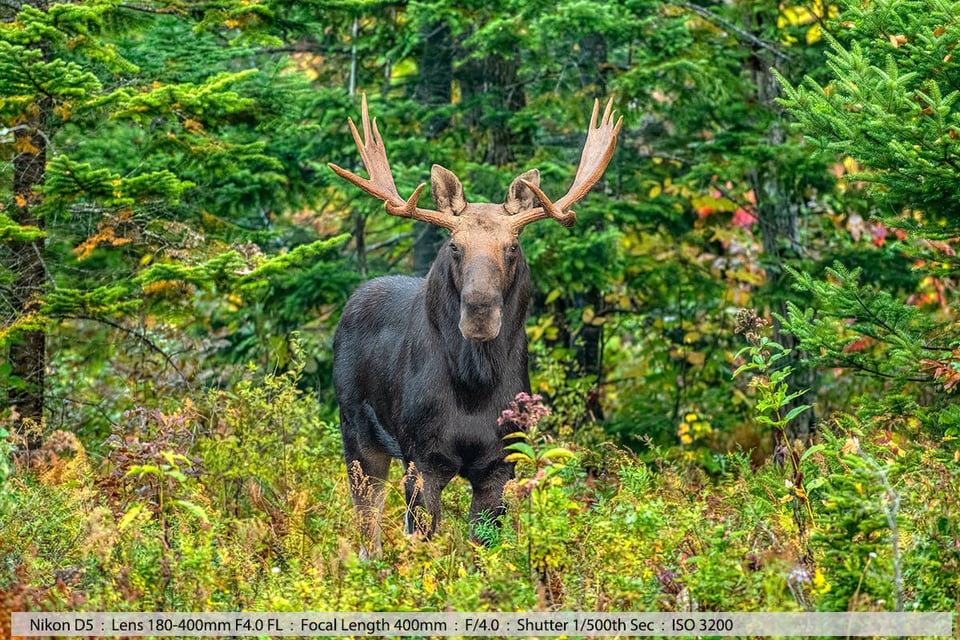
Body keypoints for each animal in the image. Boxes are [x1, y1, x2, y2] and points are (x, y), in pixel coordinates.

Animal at [326, 95, 620, 560]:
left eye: (512, 246)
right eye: (454, 246)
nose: (480, 311)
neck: (474, 386)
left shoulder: (500, 463)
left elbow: (483, 548)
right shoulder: (421, 457)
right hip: (355, 431)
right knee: (368, 530)